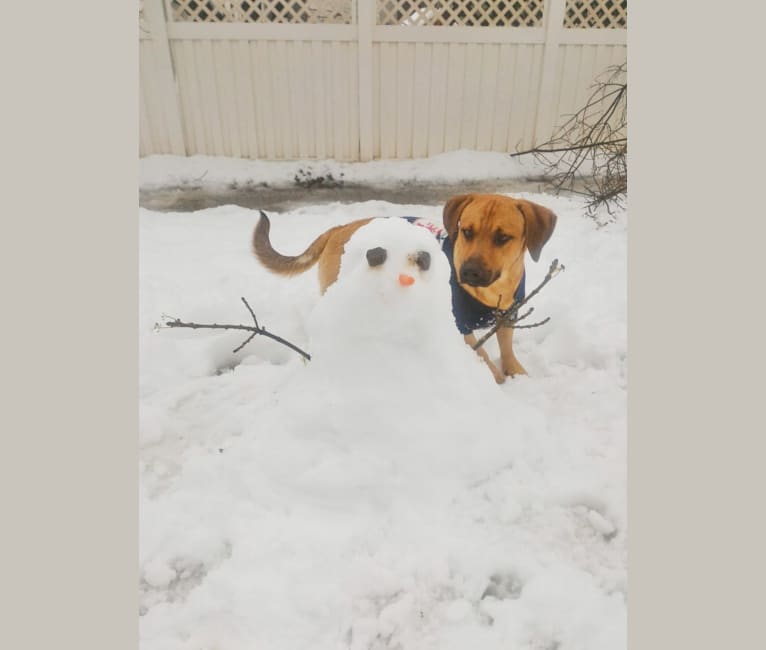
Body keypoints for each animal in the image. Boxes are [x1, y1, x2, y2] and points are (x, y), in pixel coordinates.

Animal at [254, 192, 560, 384]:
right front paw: (492, 375)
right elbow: (480, 352)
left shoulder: (508, 312)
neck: (492, 290)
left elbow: (506, 345)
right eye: (467, 232)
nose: (468, 272)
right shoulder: (459, 325)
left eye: (502, 238)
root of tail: (339, 228)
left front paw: (514, 370)